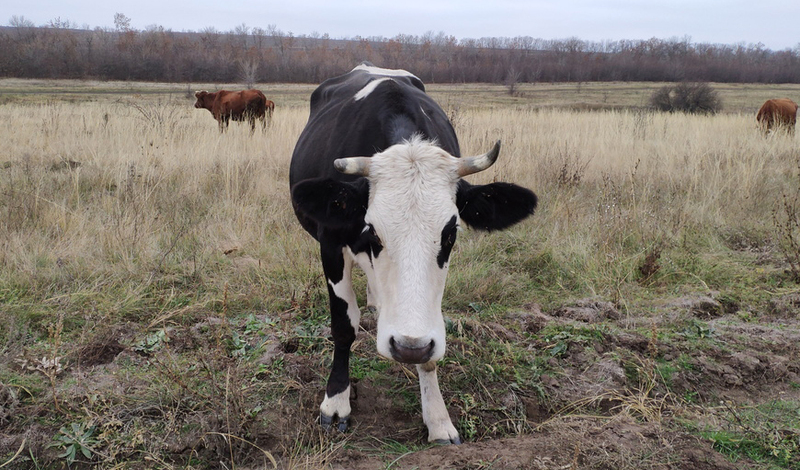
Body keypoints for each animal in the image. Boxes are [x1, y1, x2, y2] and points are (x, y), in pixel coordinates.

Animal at [288, 63, 536, 444]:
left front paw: (437, 418)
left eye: (451, 234)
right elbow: (344, 325)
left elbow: (432, 349)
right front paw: (337, 401)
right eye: (373, 230)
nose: (408, 348)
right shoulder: (329, 244)